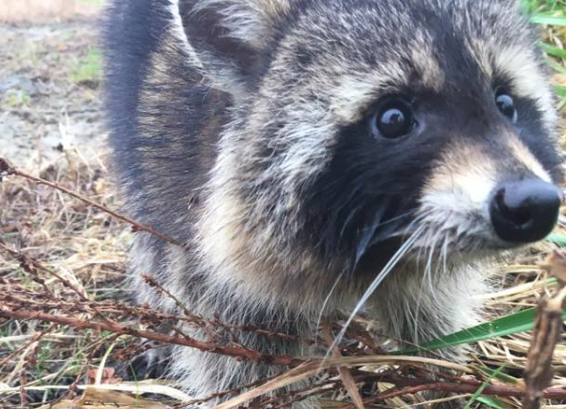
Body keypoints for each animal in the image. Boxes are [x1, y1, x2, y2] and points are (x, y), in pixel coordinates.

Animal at [104, 0, 564, 404]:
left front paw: (441, 382)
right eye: (393, 118)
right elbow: (246, 362)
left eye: (505, 104)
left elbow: (432, 318)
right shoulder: (199, 228)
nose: (534, 203)